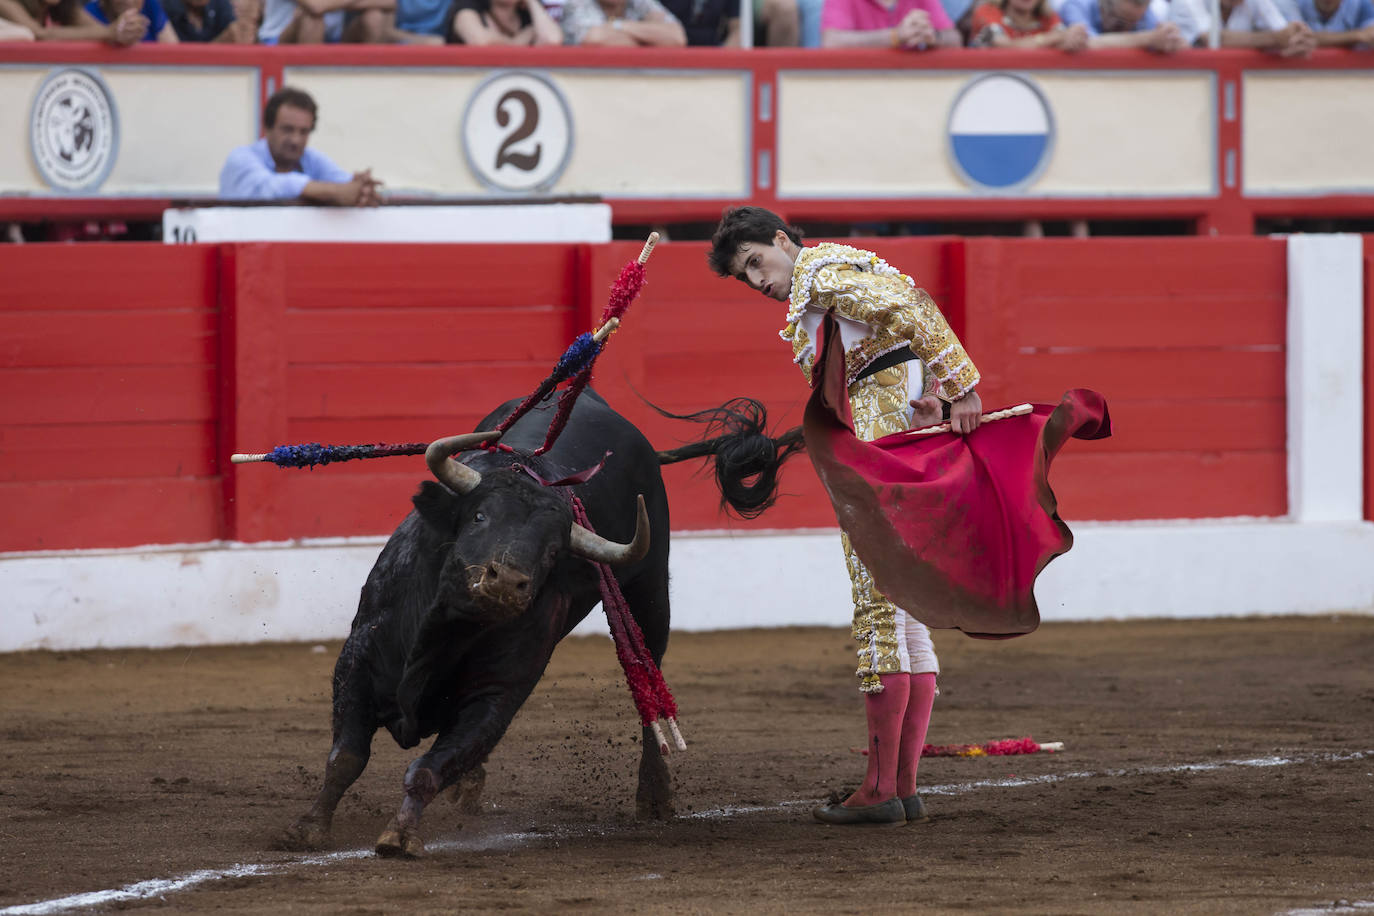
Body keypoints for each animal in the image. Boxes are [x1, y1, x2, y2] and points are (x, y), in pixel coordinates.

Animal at [273, 384, 802, 856]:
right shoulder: (357, 663)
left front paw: (399, 836)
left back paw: (654, 799)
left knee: (650, 689)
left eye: (552, 551)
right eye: (480, 516)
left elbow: (428, 767)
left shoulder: (496, 695)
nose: (506, 582)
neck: (445, 630)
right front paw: (306, 829)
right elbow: (346, 758)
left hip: (649, 596)